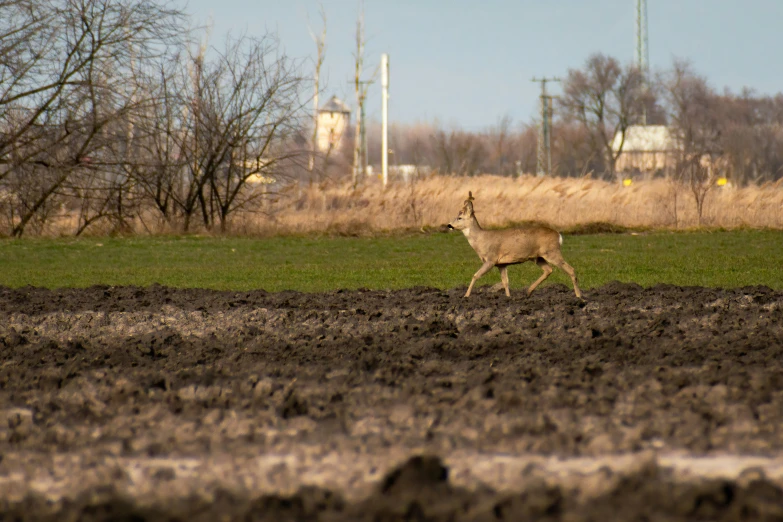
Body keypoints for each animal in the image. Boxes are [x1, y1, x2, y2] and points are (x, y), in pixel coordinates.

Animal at [448, 191, 580, 296]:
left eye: (459, 217)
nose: (449, 225)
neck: (481, 240)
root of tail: (558, 235)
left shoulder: (491, 259)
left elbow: (475, 275)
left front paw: (466, 296)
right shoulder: (501, 264)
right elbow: (505, 282)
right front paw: (508, 297)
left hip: (551, 252)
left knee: (571, 269)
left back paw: (579, 296)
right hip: (538, 257)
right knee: (548, 270)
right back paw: (528, 292)